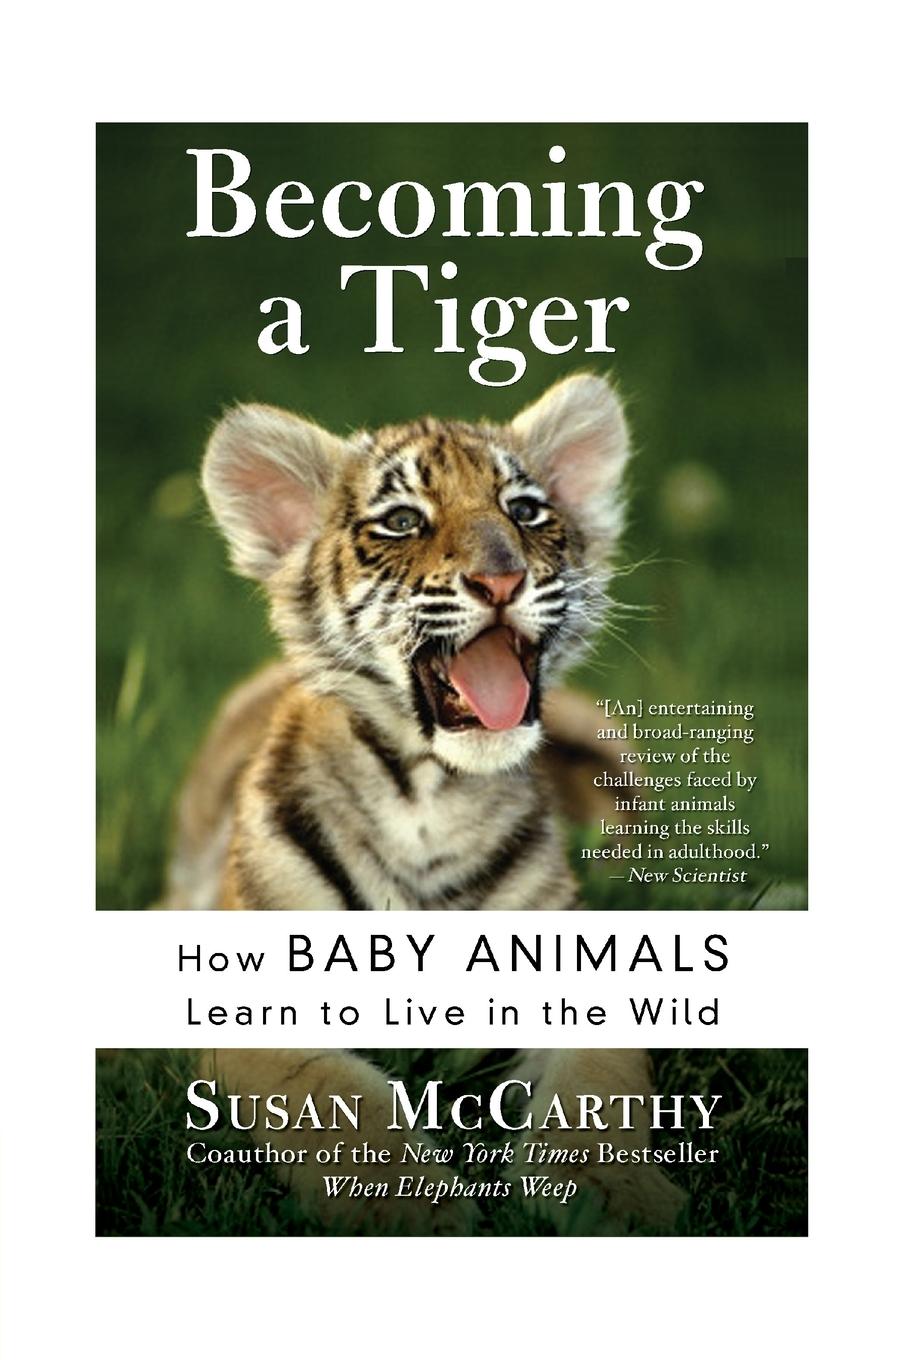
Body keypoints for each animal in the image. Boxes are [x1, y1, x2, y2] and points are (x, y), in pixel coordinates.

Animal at [163, 372, 684, 1233]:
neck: (430, 795)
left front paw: (612, 1195)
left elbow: (598, 1090)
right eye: (403, 521)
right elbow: (341, 1102)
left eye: (525, 510)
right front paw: (414, 1209)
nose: (501, 580)